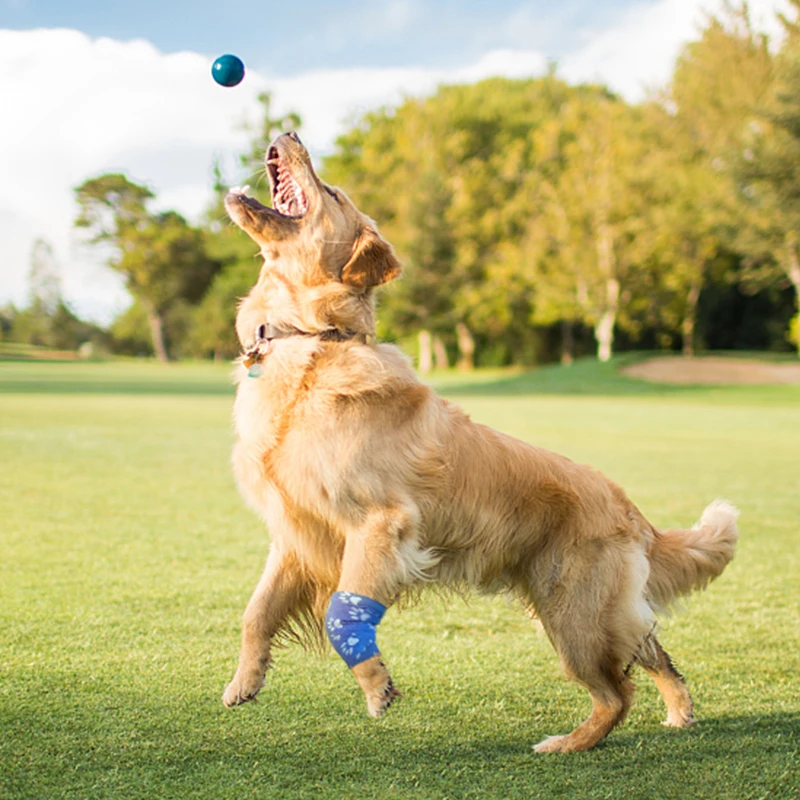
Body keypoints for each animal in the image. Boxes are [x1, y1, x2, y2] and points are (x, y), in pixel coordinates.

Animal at [219, 131, 736, 752]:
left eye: (334, 192)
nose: (291, 133)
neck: (313, 340)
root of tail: (632, 510)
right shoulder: (295, 533)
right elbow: (255, 612)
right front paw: (244, 682)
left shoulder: (380, 524)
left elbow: (343, 610)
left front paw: (376, 686)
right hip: (591, 611)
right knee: (652, 651)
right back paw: (679, 713)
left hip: (573, 615)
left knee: (617, 694)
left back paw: (567, 743)